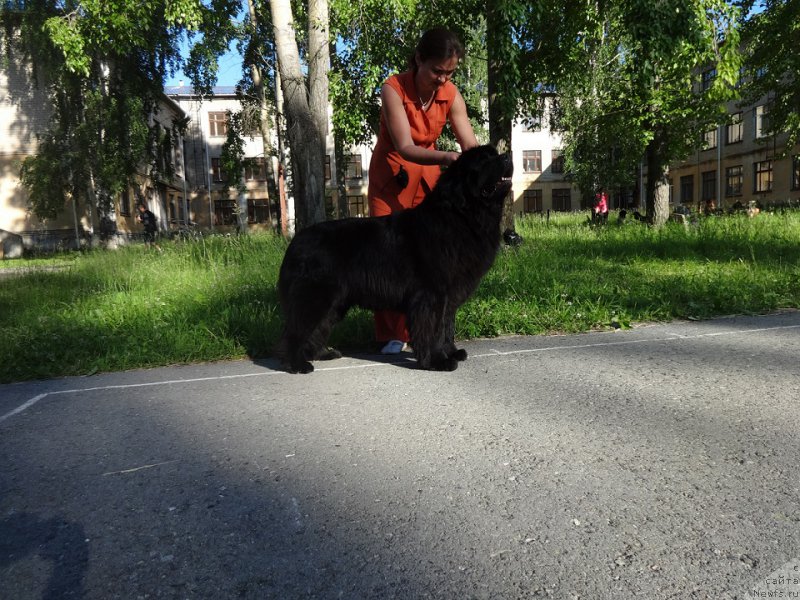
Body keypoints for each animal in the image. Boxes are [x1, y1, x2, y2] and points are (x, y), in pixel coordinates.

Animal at [276, 144, 512, 372]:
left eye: (494, 153)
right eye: (483, 160)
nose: (508, 156)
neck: (462, 215)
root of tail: (296, 241)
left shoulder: (449, 296)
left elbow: (447, 327)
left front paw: (451, 352)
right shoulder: (432, 294)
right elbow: (434, 329)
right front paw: (437, 361)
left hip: (335, 302)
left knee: (318, 326)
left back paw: (321, 353)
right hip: (315, 296)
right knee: (295, 330)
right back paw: (296, 364)